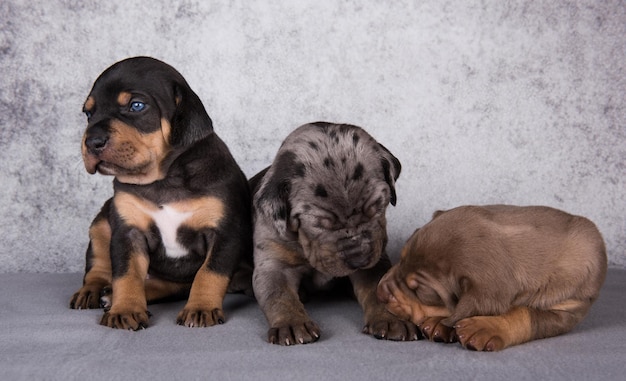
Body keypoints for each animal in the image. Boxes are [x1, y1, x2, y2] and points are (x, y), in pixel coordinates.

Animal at [68, 57, 251, 330]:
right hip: (101, 222)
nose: (92, 141)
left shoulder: (224, 233)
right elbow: (126, 274)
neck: (163, 180)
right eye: (89, 114)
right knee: (99, 266)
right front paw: (125, 309)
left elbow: (209, 273)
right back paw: (95, 291)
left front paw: (201, 308)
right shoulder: (128, 232)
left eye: (136, 105)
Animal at [250, 121, 420, 344]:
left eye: (377, 206)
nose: (359, 259)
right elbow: (279, 295)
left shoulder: (375, 260)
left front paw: (391, 319)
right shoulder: (272, 264)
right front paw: (292, 324)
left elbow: (377, 288)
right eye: (319, 224)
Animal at [376, 205, 604, 350]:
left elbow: (525, 314)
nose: (380, 292)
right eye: (401, 258)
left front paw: (483, 327)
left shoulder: (568, 310)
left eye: (421, 291)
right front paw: (440, 323)